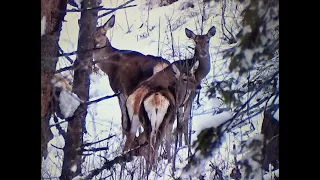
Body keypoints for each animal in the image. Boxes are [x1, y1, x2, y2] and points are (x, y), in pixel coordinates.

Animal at [92, 14, 170, 143]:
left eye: (103, 33)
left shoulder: (119, 90)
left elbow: (124, 120)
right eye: (92, 34)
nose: (95, 44)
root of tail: (161, 65)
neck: (109, 67)